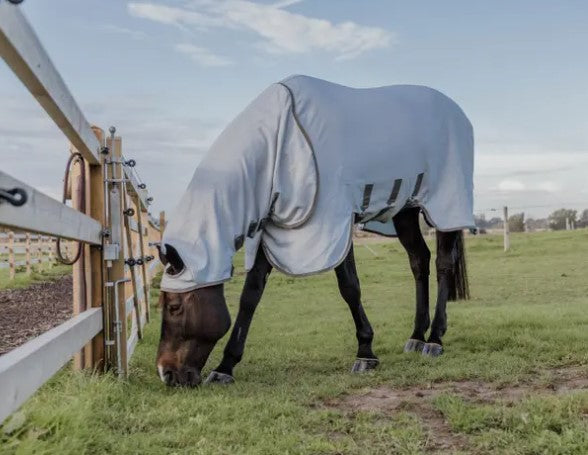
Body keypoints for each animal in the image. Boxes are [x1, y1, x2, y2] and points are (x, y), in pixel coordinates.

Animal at [155, 75, 474, 388]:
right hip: (406, 210)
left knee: (443, 264)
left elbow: (350, 288)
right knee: (419, 261)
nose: (166, 373)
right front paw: (225, 367)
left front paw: (365, 353)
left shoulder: (334, 223)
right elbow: (250, 296)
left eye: (174, 307)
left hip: (445, 206)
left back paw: (435, 339)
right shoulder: (274, 228)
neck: (281, 141)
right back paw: (416, 336)